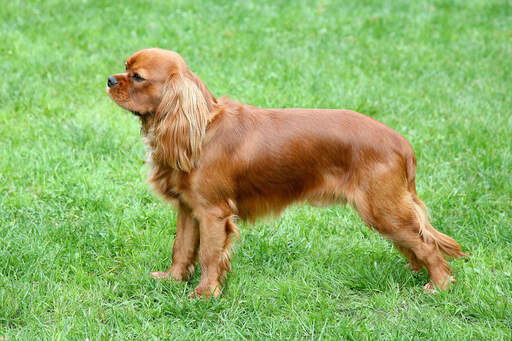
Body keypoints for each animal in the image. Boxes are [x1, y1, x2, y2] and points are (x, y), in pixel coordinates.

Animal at [105, 47, 464, 298]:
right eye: (125, 67)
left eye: (137, 77)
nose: (109, 80)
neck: (202, 128)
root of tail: (402, 143)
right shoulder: (188, 209)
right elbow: (181, 247)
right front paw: (172, 279)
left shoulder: (212, 213)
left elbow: (208, 255)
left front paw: (205, 293)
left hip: (382, 209)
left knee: (428, 245)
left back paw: (439, 285)